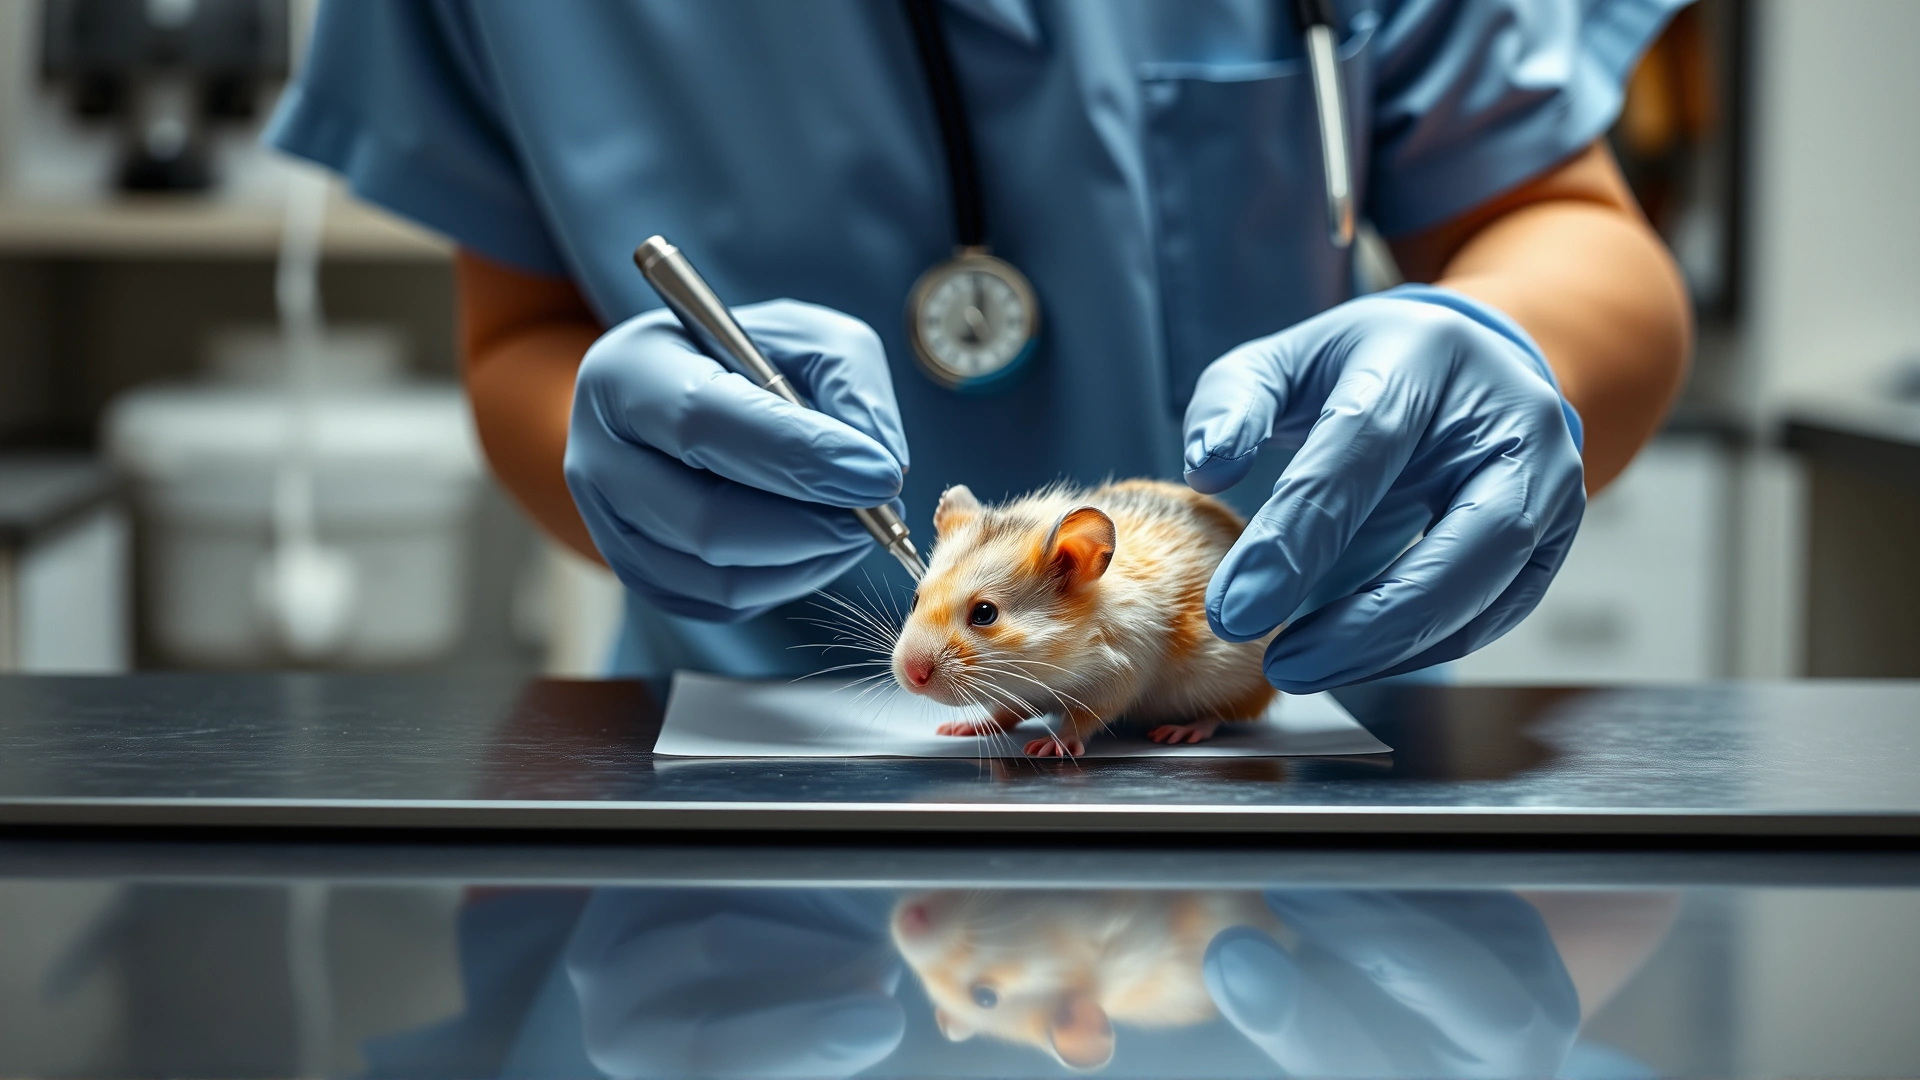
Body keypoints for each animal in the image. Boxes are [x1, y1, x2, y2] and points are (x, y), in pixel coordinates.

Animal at [890, 479, 1276, 757]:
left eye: (985, 613)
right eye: (916, 599)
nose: (911, 676)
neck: (1044, 669)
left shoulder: (1120, 673)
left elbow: (1084, 718)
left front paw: (1048, 747)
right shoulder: (1020, 693)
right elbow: (1006, 711)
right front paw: (961, 728)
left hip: (1233, 678)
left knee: (1224, 712)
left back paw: (1180, 731)